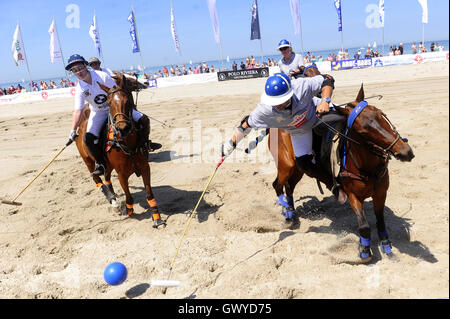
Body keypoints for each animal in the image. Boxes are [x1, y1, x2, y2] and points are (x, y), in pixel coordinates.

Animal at [74, 73, 166, 228]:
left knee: (107, 177)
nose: (123, 128)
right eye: (109, 103)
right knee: (97, 178)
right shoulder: (121, 173)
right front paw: (129, 211)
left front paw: (157, 218)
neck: (128, 142)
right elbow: (129, 197)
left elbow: (149, 195)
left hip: (108, 164)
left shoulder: (145, 167)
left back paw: (114, 198)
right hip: (88, 161)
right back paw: (113, 202)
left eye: (127, 101)